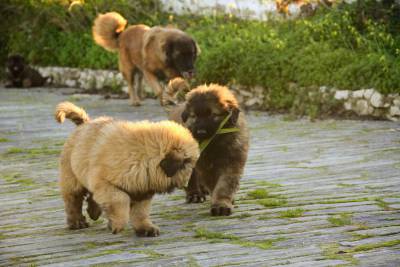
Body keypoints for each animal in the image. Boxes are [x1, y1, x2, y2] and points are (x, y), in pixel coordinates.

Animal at [55, 102, 200, 237]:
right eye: (186, 164)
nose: (187, 182)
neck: (142, 155)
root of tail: (84, 124)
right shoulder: (105, 184)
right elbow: (121, 200)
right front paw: (118, 224)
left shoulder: (142, 190)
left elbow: (140, 212)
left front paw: (145, 229)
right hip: (71, 179)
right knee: (73, 201)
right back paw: (77, 222)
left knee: (91, 197)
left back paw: (94, 212)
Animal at [170, 85, 250, 217]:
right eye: (194, 116)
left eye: (212, 114)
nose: (201, 132)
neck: (215, 142)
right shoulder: (206, 166)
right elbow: (214, 184)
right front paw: (220, 204)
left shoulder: (233, 160)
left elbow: (225, 184)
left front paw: (223, 204)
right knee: (191, 178)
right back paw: (194, 195)